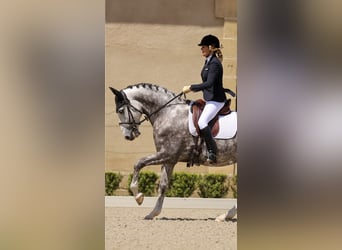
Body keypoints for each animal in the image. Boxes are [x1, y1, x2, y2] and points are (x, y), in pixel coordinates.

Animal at [109, 83, 238, 219]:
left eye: (121, 111)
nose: (127, 136)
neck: (167, 113)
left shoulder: (167, 154)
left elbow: (139, 163)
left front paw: (138, 197)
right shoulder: (169, 160)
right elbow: (163, 185)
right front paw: (153, 213)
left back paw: (226, 216)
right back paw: (226, 216)